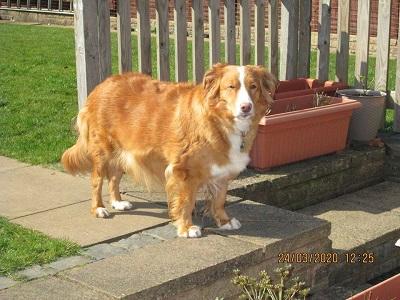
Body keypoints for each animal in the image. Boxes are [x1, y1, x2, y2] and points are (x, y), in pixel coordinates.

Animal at [61, 64, 276, 238]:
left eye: (253, 86)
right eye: (231, 87)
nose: (246, 107)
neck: (218, 119)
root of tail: (102, 85)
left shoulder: (222, 169)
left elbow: (220, 199)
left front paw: (224, 221)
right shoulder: (184, 171)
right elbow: (186, 201)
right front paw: (187, 228)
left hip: (123, 151)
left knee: (114, 177)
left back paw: (118, 202)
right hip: (103, 151)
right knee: (97, 180)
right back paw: (99, 208)